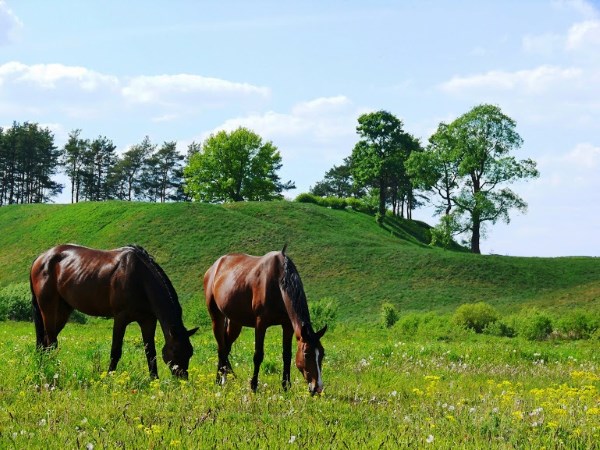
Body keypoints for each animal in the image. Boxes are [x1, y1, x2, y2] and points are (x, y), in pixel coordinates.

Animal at [29, 244, 198, 378]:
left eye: (190, 352)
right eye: (175, 351)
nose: (182, 378)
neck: (140, 278)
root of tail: (41, 258)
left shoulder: (148, 321)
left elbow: (151, 352)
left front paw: (154, 380)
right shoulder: (120, 318)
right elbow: (116, 351)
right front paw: (109, 377)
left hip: (63, 311)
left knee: (46, 341)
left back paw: (44, 368)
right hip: (48, 308)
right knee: (51, 342)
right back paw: (53, 370)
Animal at [206, 246, 328, 394]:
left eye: (322, 354)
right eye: (306, 354)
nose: (318, 387)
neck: (278, 282)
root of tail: (214, 267)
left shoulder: (287, 326)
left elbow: (287, 355)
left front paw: (286, 386)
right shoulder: (260, 324)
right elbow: (258, 355)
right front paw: (253, 386)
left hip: (235, 322)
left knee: (226, 347)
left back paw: (226, 378)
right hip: (216, 317)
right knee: (221, 348)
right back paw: (218, 381)